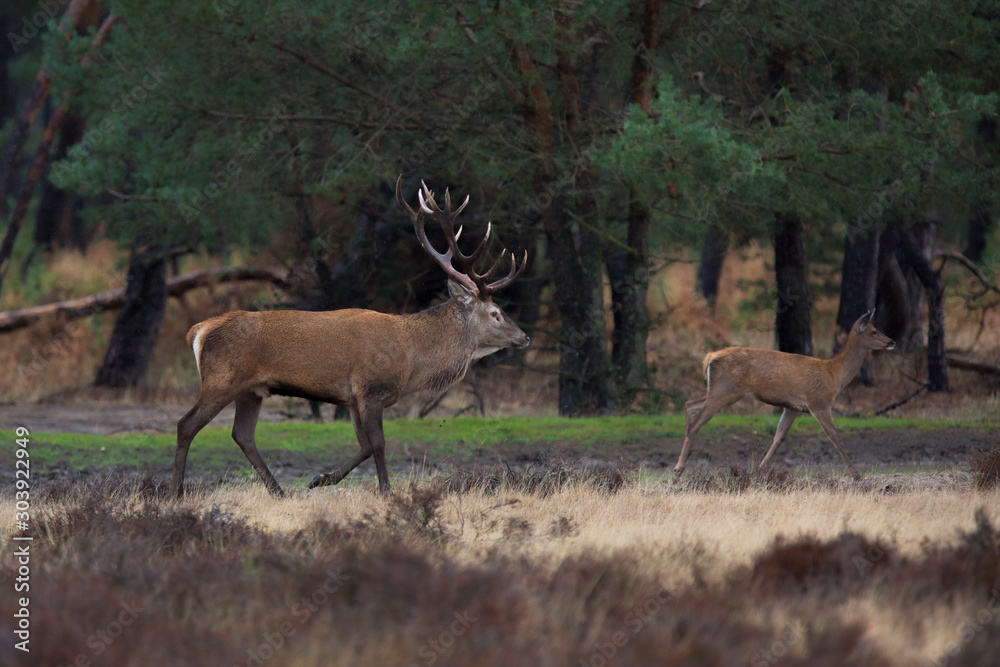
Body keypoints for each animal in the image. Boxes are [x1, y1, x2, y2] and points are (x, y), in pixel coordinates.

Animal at [170, 176, 529, 499]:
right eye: (496, 313)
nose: (524, 337)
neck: (412, 359)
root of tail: (198, 331)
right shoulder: (370, 388)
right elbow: (379, 444)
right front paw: (386, 491)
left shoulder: (354, 398)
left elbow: (365, 446)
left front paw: (320, 479)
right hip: (221, 379)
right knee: (186, 424)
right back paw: (175, 491)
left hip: (251, 390)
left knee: (242, 434)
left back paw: (279, 491)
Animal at [673, 309, 895, 481]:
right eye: (874, 331)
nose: (891, 341)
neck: (835, 374)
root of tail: (709, 358)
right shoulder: (819, 402)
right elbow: (834, 436)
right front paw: (856, 474)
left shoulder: (793, 407)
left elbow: (779, 436)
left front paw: (758, 470)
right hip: (725, 391)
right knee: (696, 422)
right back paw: (677, 470)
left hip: (719, 391)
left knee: (689, 404)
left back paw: (684, 460)